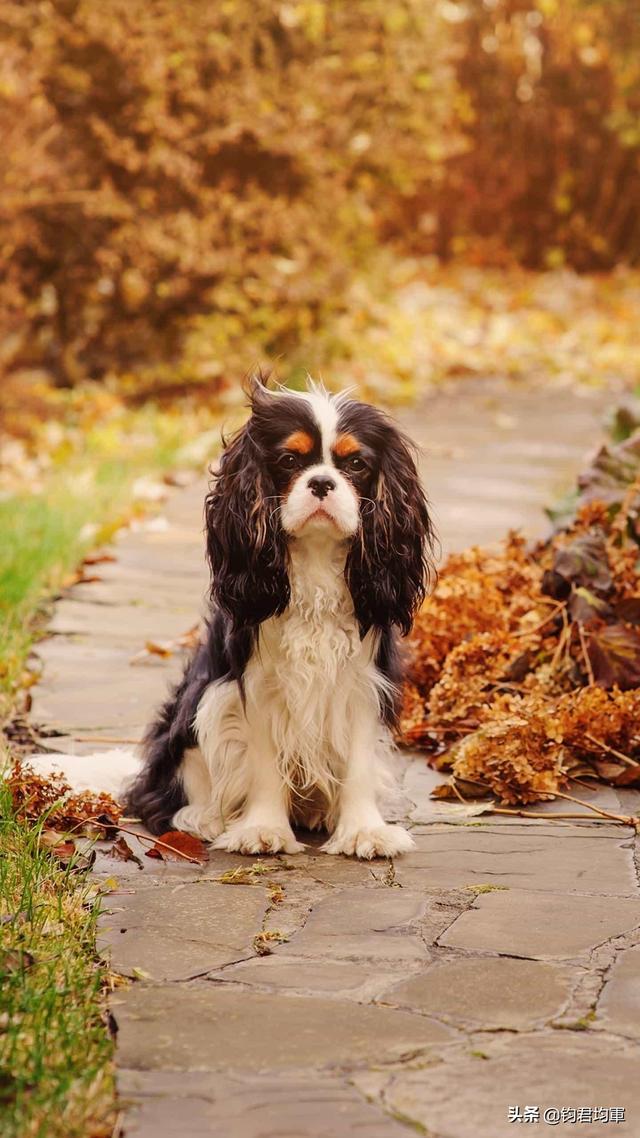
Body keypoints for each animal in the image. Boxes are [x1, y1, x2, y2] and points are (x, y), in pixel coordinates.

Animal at [123, 377, 432, 855]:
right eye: (289, 460)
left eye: (356, 464)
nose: (321, 482)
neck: (316, 561)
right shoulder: (256, 686)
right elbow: (264, 763)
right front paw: (262, 829)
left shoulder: (361, 685)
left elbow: (359, 763)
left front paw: (363, 830)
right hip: (199, 704)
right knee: (165, 794)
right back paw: (203, 819)